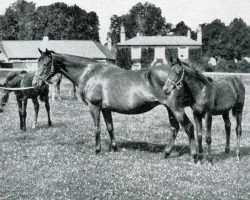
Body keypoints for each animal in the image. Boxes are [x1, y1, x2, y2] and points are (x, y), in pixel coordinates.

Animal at [32, 48, 197, 161]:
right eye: (37, 62)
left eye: (46, 63)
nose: (35, 83)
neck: (90, 73)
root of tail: (180, 74)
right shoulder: (106, 109)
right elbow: (110, 127)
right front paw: (114, 147)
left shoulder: (94, 106)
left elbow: (97, 128)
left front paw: (97, 149)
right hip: (170, 109)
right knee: (175, 128)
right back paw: (166, 153)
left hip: (176, 108)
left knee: (188, 127)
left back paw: (194, 156)